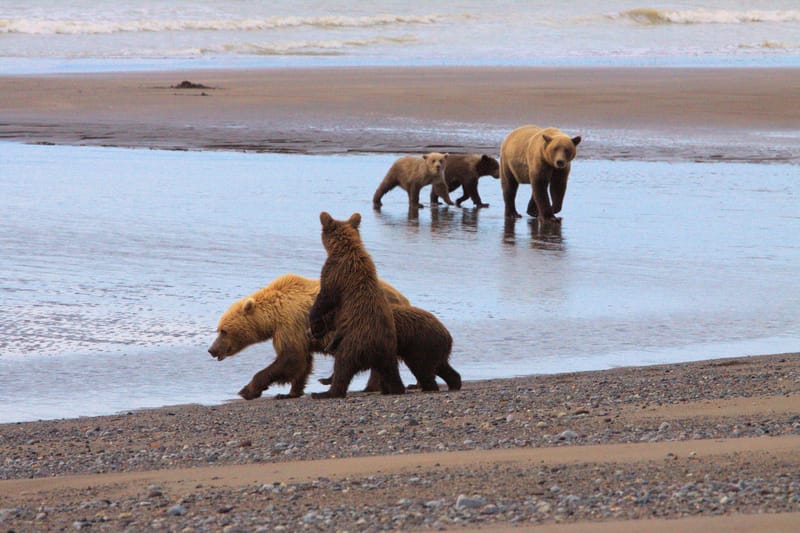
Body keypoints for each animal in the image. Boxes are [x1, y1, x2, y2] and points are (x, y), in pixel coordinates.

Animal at [208, 273, 409, 400]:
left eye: (223, 331)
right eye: (218, 329)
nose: (211, 349)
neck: (272, 317)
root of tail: (403, 298)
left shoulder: (289, 324)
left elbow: (290, 357)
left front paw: (247, 390)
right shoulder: (298, 332)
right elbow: (302, 363)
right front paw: (290, 393)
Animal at [308, 211, 405, 398]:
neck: (346, 249)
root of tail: (375, 351)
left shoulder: (334, 274)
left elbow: (324, 298)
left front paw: (314, 322)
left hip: (354, 342)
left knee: (342, 365)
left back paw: (326, 391)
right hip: (389, 350)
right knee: (391, 371)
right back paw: (396, 388)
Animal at [319, 304, 461, 392]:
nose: (327, 348)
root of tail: (447, 334)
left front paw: (326, 379)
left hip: (421, 344)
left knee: (422, 367)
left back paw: (427, 386)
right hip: (431, 348)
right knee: (440, 367)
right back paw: (454, 383)